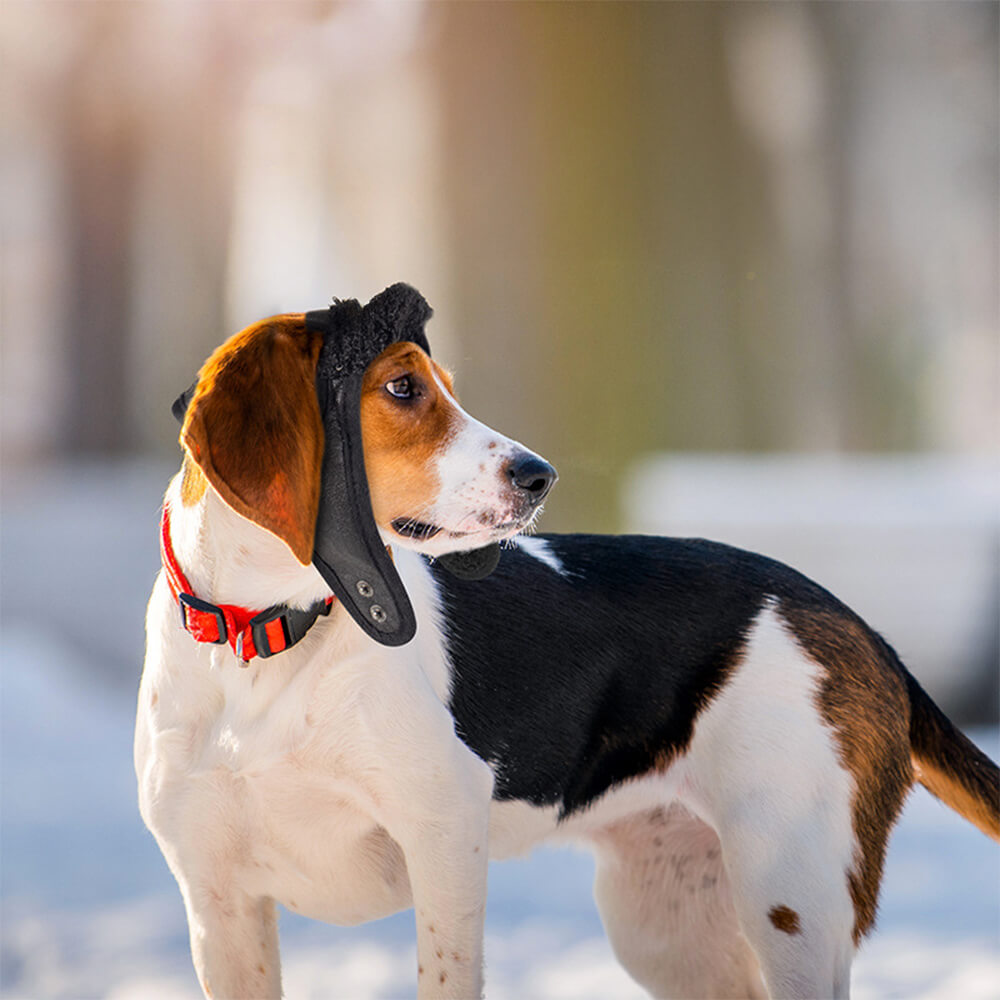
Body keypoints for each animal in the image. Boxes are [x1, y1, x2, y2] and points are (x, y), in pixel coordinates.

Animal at [137, 286, 996, 996]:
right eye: (403, 387)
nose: (539, 475)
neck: (266, 635)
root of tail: (857, 624)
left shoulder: (445, 840)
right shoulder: (218, 907)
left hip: (792, 897)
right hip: (669, 924)